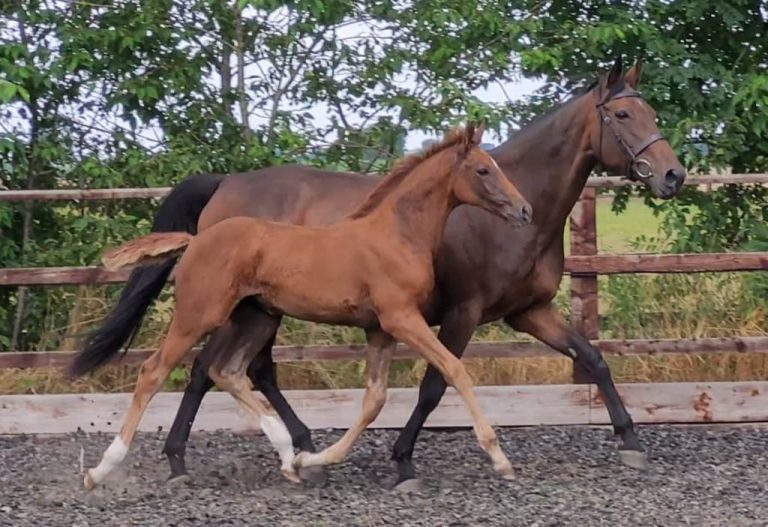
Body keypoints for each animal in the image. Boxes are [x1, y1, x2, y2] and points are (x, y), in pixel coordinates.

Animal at [80, 124, 533, 489]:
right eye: (483, 170)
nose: (525, 210)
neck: (396, 234)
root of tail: (195, 240)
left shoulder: (379, 329)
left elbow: (374, 399)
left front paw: (316, 459)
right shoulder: (402, 318)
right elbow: (454, 370)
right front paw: (500, 459)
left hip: (257, 317)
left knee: (227, 371)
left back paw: (289, 458)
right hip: (200, 315)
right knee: (155, 371)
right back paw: (101, 470)